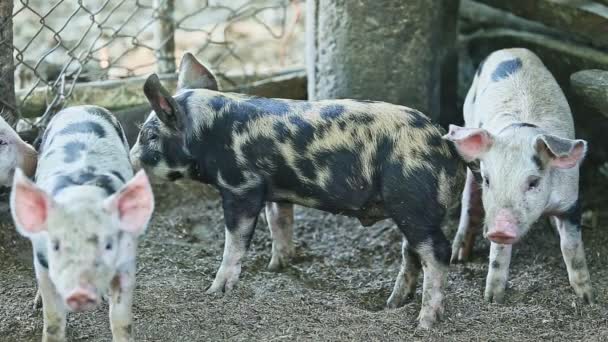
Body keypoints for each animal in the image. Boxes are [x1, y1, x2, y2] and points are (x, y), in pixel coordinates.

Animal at [9, 106, 154, 342]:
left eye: (107, 245)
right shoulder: (42, 261)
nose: (81, 293)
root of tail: (80, 106)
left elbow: (121, 319)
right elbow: (53, 319)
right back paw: (36, 304)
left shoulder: (126, 258)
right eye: (56, 245)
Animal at [131, 53, 464, 328]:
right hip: (411, 209)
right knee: (411, 253)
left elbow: (234, 242)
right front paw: (276, 267)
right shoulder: (275, 191)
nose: (132, 158)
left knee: (437, 252)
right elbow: (279, 224)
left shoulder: (241, 186)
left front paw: (215, 291)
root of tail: (444, 146)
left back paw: (424, 323)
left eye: (150, 135)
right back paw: (392, 304)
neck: (206, 134)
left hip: (412, 200)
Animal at [442, 48, 592, 304]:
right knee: (468, 199)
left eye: (533, 182)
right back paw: (458, 257)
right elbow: (498, 254)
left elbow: (572, 247)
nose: (500, 228)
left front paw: (588, 299)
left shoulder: (571, 200)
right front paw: (492, 300)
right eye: (489, 180)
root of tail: (509, 50)